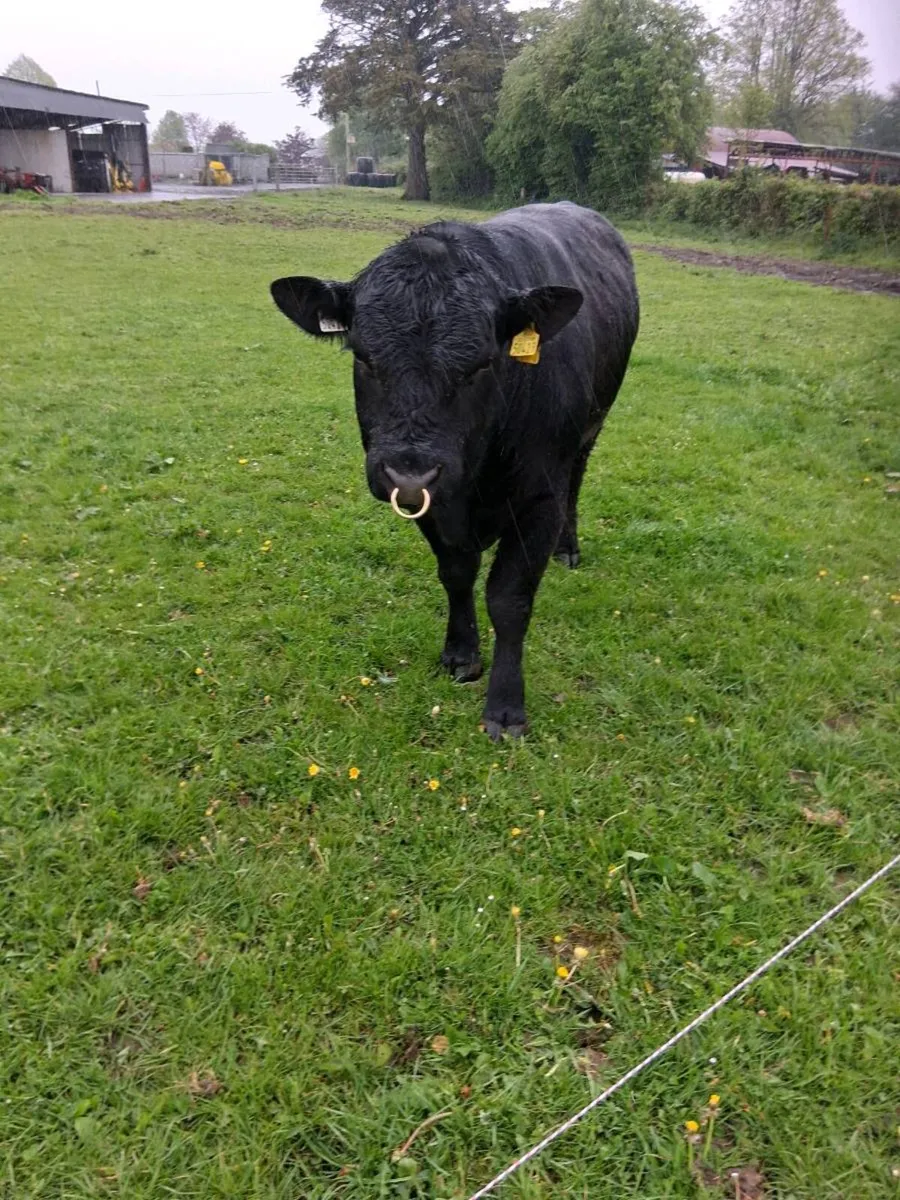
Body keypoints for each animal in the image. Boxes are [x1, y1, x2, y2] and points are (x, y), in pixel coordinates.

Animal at [271, 201, 639, 740]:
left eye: (481, 364)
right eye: (363, 356)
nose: (409, 473)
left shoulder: (539, 499)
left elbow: (508, 599)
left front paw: (505, 707)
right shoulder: (430, 502)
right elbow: (457, 573)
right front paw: (461, 654)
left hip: (594, 424)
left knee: (578, 479)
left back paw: (568, 548)